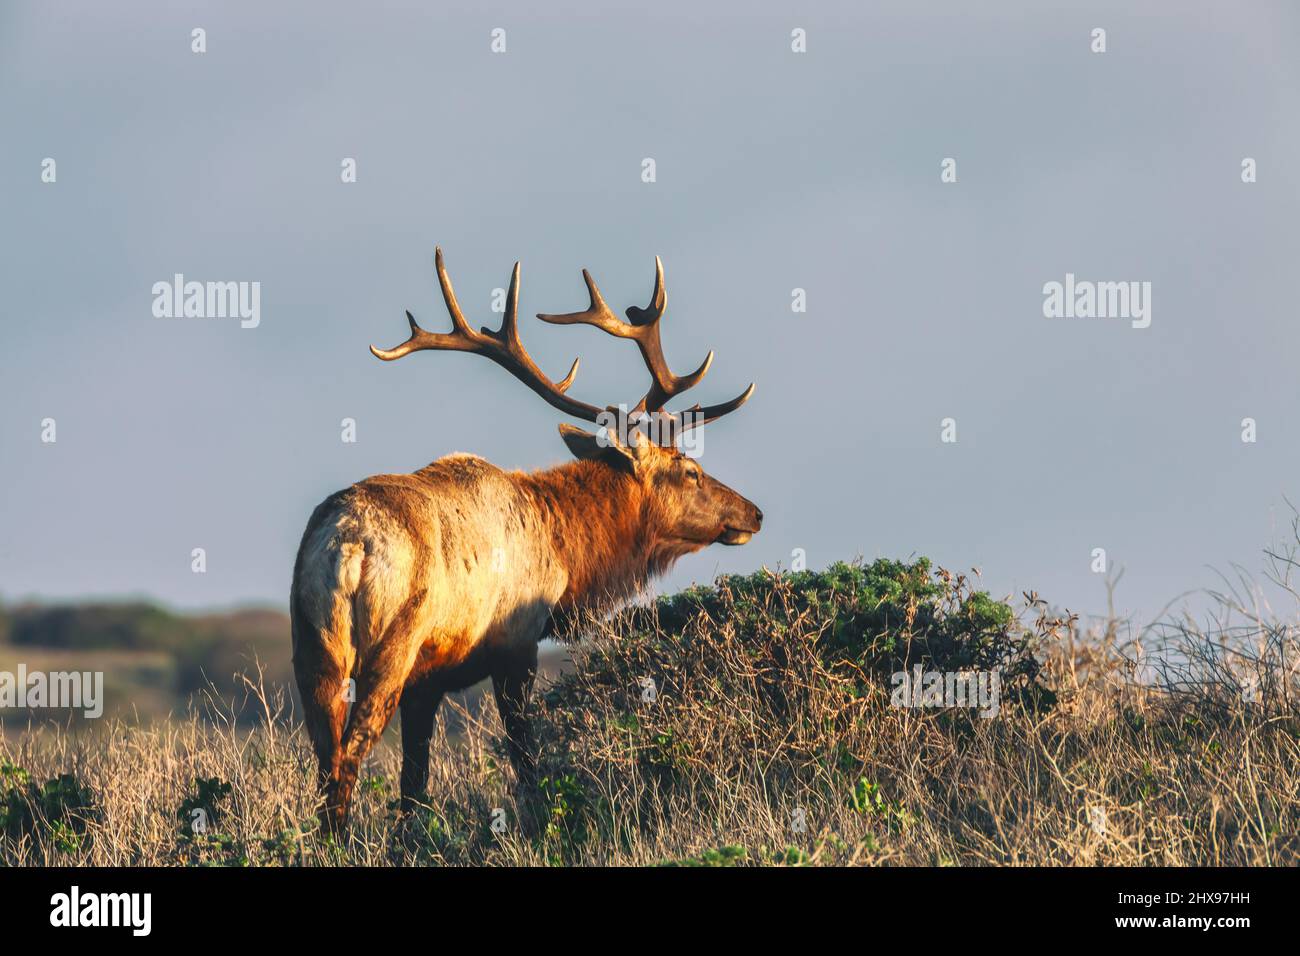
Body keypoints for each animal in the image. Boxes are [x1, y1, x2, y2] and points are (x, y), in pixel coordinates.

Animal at [292, 248, 759, 832]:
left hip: (312, 645)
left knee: (324, 750)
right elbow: (522, 754)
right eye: (690, 471)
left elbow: (414, 780)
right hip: (392, 642)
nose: (753, 513)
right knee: (351, 748)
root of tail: (347, 544)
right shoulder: (514, 642)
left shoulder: (428, 678)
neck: (564, 553)